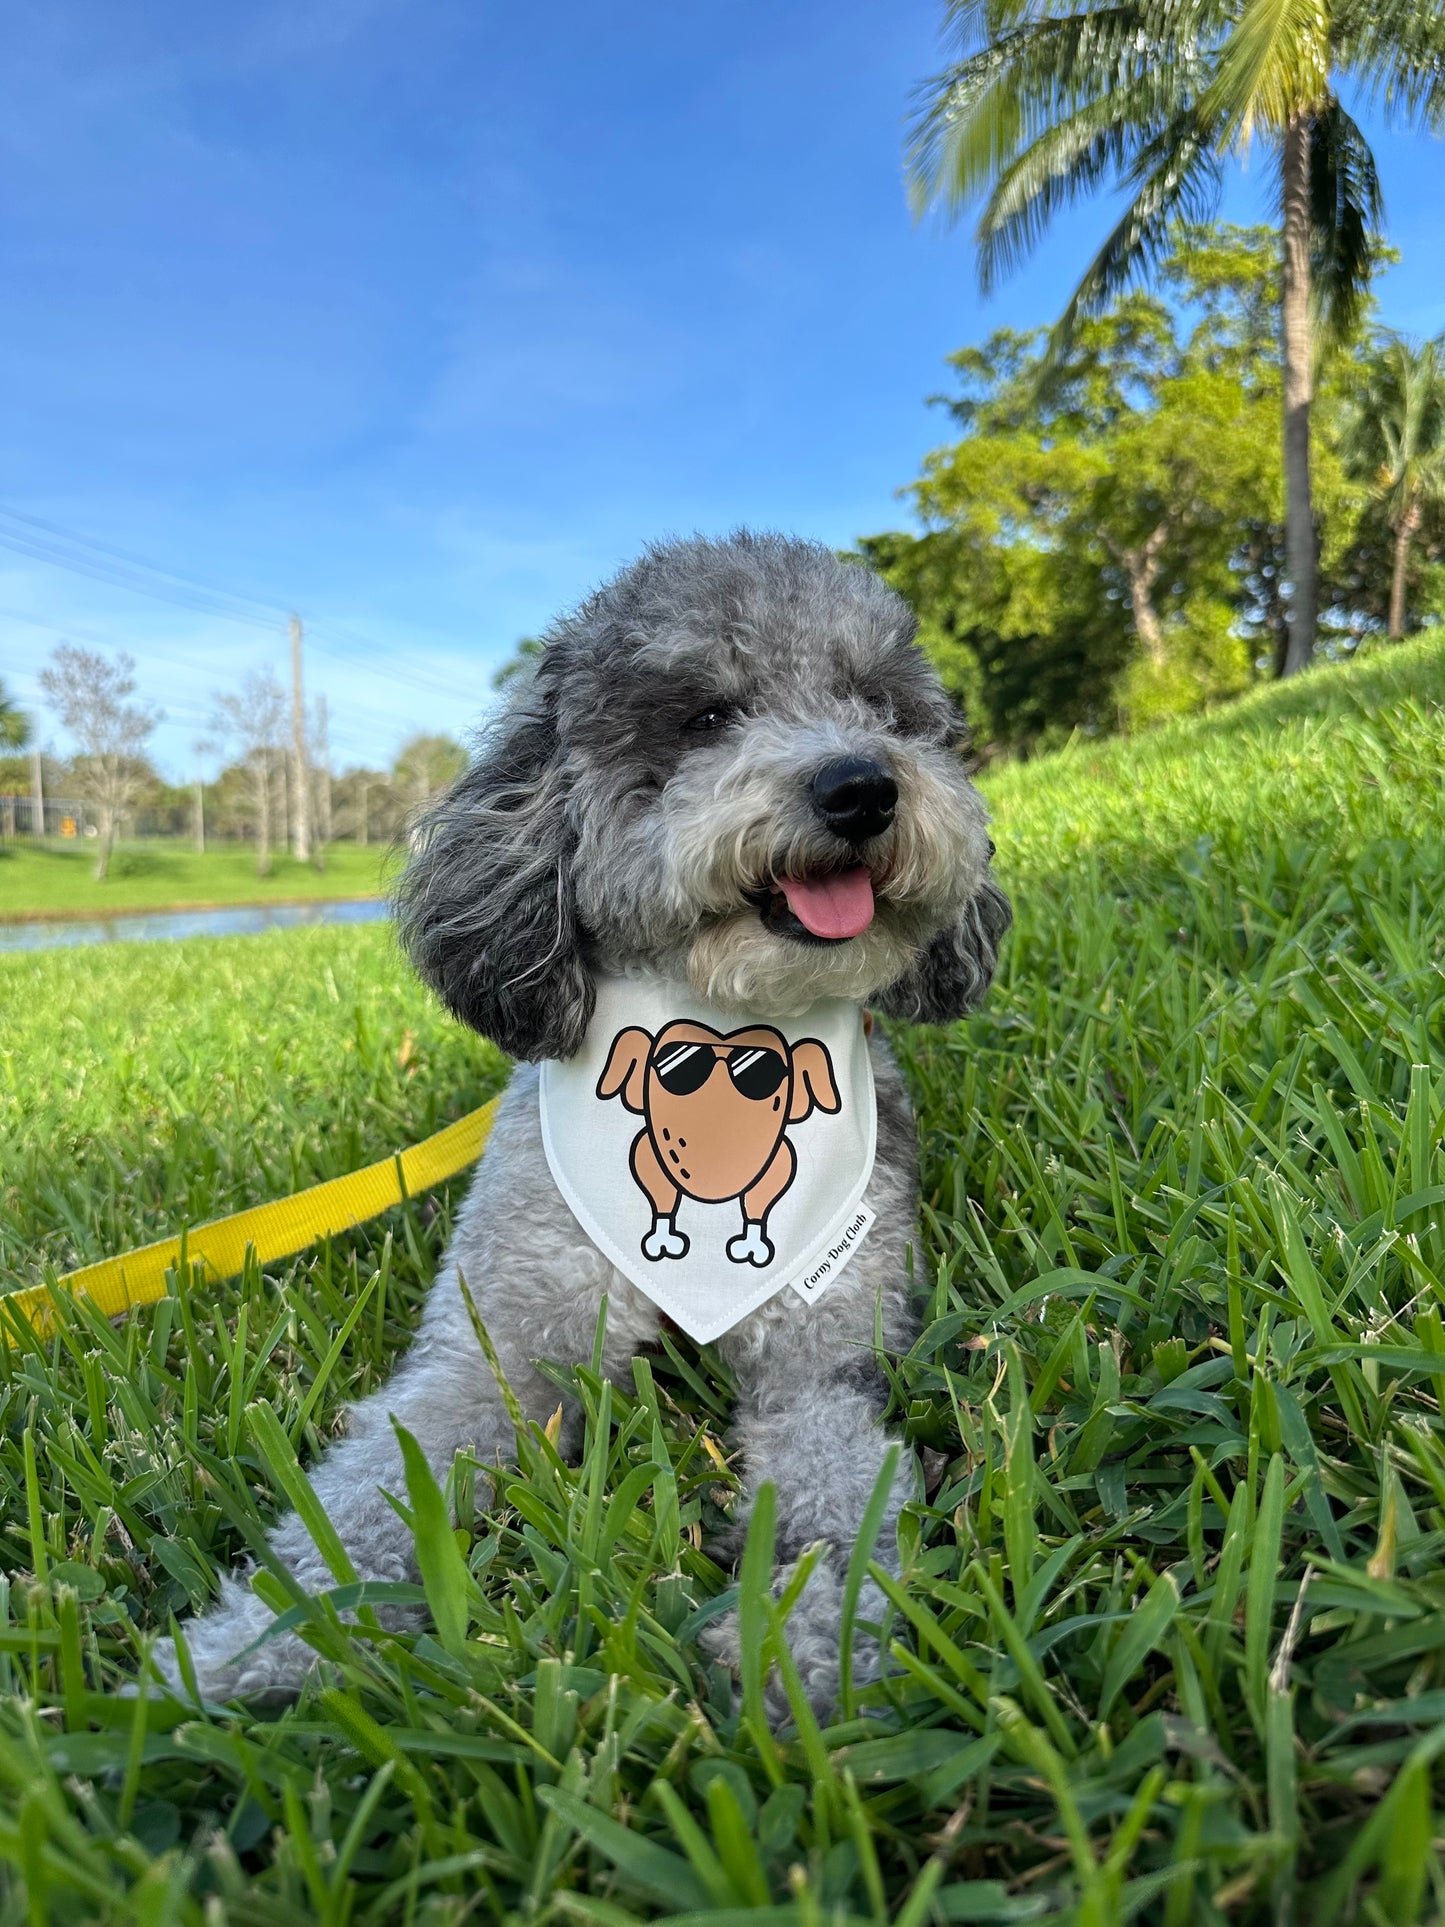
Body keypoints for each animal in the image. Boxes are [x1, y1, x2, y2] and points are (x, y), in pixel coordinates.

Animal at [147, 531, 1009, 1718]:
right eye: (705, 715)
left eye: (882, 707)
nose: (861, 784)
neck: (721, 1019)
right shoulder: (494, 1347)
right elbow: (367, 1494)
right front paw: (256, 1646)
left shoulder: (824, 1348)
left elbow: (838, 1493)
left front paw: (813, 1644)